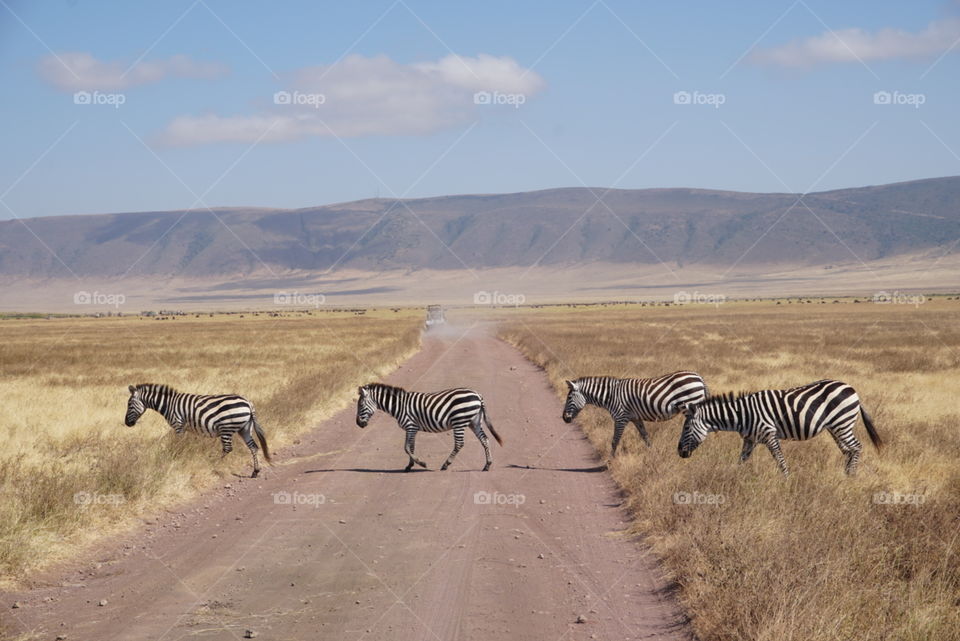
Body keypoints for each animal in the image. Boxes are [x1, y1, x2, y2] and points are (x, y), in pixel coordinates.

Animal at [125, 383, 271, 478]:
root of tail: (248, 403)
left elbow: (179, 445)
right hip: (244, 428)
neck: (168, 405)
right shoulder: (184, 427)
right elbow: (184, 444)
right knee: (253, 447)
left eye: (129, 404)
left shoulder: (178, 424)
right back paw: (255, 471)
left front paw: (178, 458)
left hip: (226, 428)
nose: (127, 423)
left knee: (228, 448)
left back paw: (213, 464)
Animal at [356, 383, 503, 471]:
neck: (399, 406)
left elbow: (406, 447)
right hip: (474, 421)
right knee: (485, 440)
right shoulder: (412, 429)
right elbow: (411, 447)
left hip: (459, 421)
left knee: (459, 444)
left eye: (361, 405)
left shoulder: (410, 426)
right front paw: (409, 465)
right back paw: (487, 465)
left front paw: (422, 463)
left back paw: (445, 464)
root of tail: (478, 395)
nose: (358, 424)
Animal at [562, 371, 708, 457]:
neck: (610, 396)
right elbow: (645, 436)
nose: (564, 418)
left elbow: (615, 440)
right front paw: (653, 454)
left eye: (569, 398)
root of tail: (699, 377)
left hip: (691, 405)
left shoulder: (621, 418)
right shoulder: (636, 418)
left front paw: (611, 459)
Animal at [676, 379, 882, 476]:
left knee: (856, 447)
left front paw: (786, 481)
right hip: (835, 427)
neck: (742, 415)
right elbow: (741, 460)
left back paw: (851, 476)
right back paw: (845, 474)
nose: (679, 452)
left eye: (686, 429)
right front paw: (733, 476)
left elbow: (780, 461)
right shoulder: (750, 439)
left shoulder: (769, 435)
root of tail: (851, 388)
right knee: (848, 450)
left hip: (842, 422)